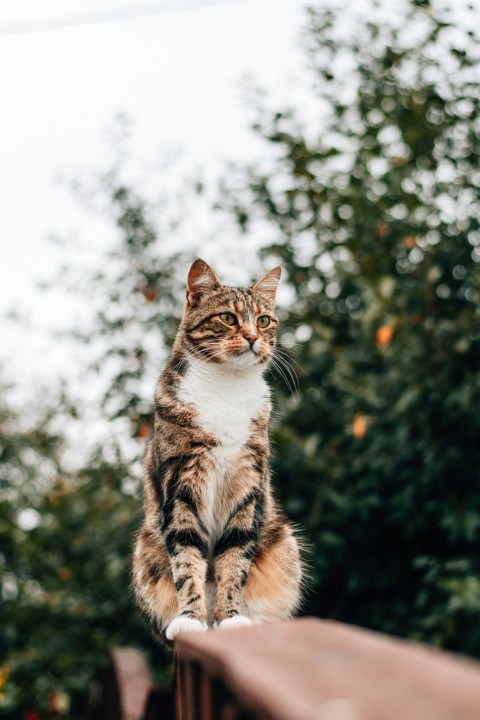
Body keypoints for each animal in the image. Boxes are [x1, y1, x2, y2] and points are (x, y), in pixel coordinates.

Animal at [131, 258, 302, 640]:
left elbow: (236, 558)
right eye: (228, 317)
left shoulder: (248, 482)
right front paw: (191, 619)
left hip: (284, 545)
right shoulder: (180, 483)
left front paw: (231, 617)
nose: (253, 337)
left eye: (264, 320)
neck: (227, 387)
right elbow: (186, 558)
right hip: (145, 553)